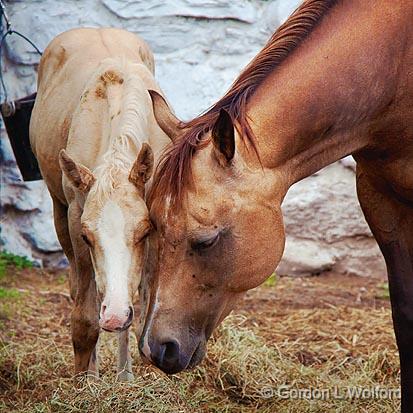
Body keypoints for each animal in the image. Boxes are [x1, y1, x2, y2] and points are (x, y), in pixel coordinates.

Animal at [29, 27, 169, 378]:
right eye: (86, 235)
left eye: (144, 232)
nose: (115, 316)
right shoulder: (75, 217)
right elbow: (85, 317)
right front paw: (85, 379)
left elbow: (141, 300)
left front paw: (131, 375)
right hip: (58, 208)